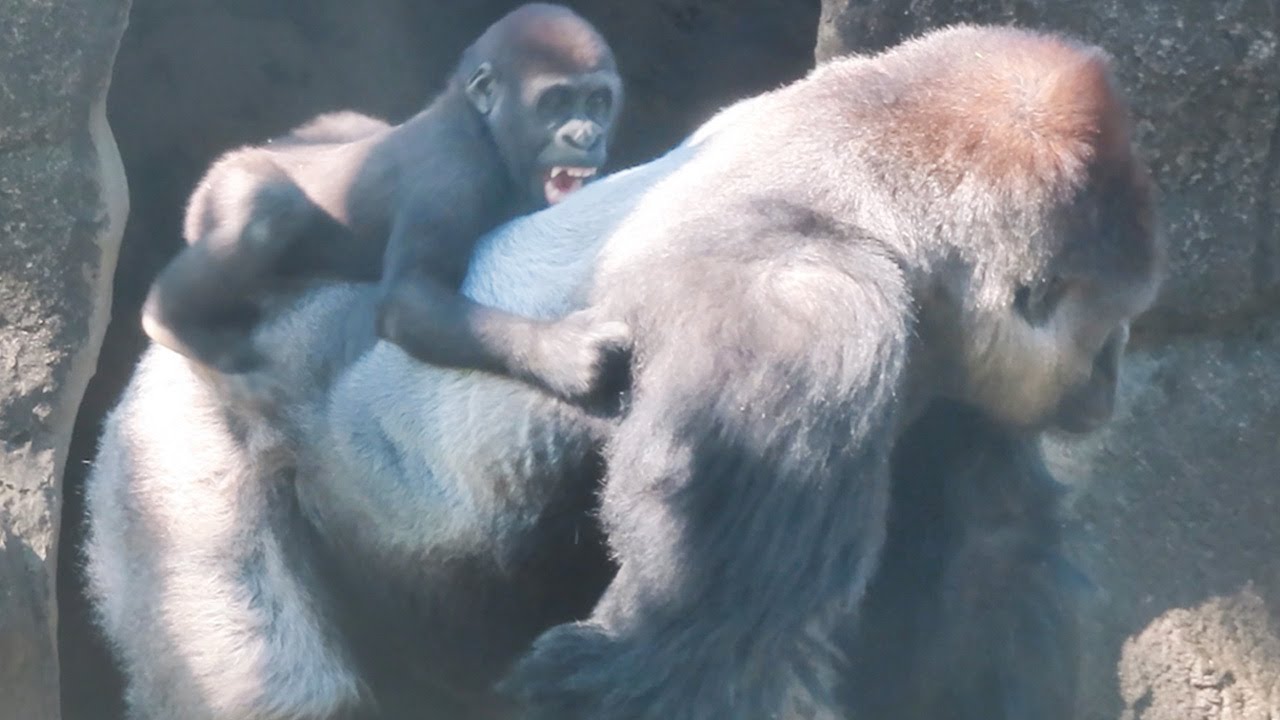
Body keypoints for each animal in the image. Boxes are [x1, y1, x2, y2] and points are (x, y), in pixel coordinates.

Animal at [139, 3, 629, 406]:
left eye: (597, 102)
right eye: (555, 102)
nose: (586, 136)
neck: (481, 128)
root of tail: (231, 157)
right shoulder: (451, 176)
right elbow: (410, 298)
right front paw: (559, 351)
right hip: (221, 187)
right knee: (266, 218)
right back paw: (166, 321)